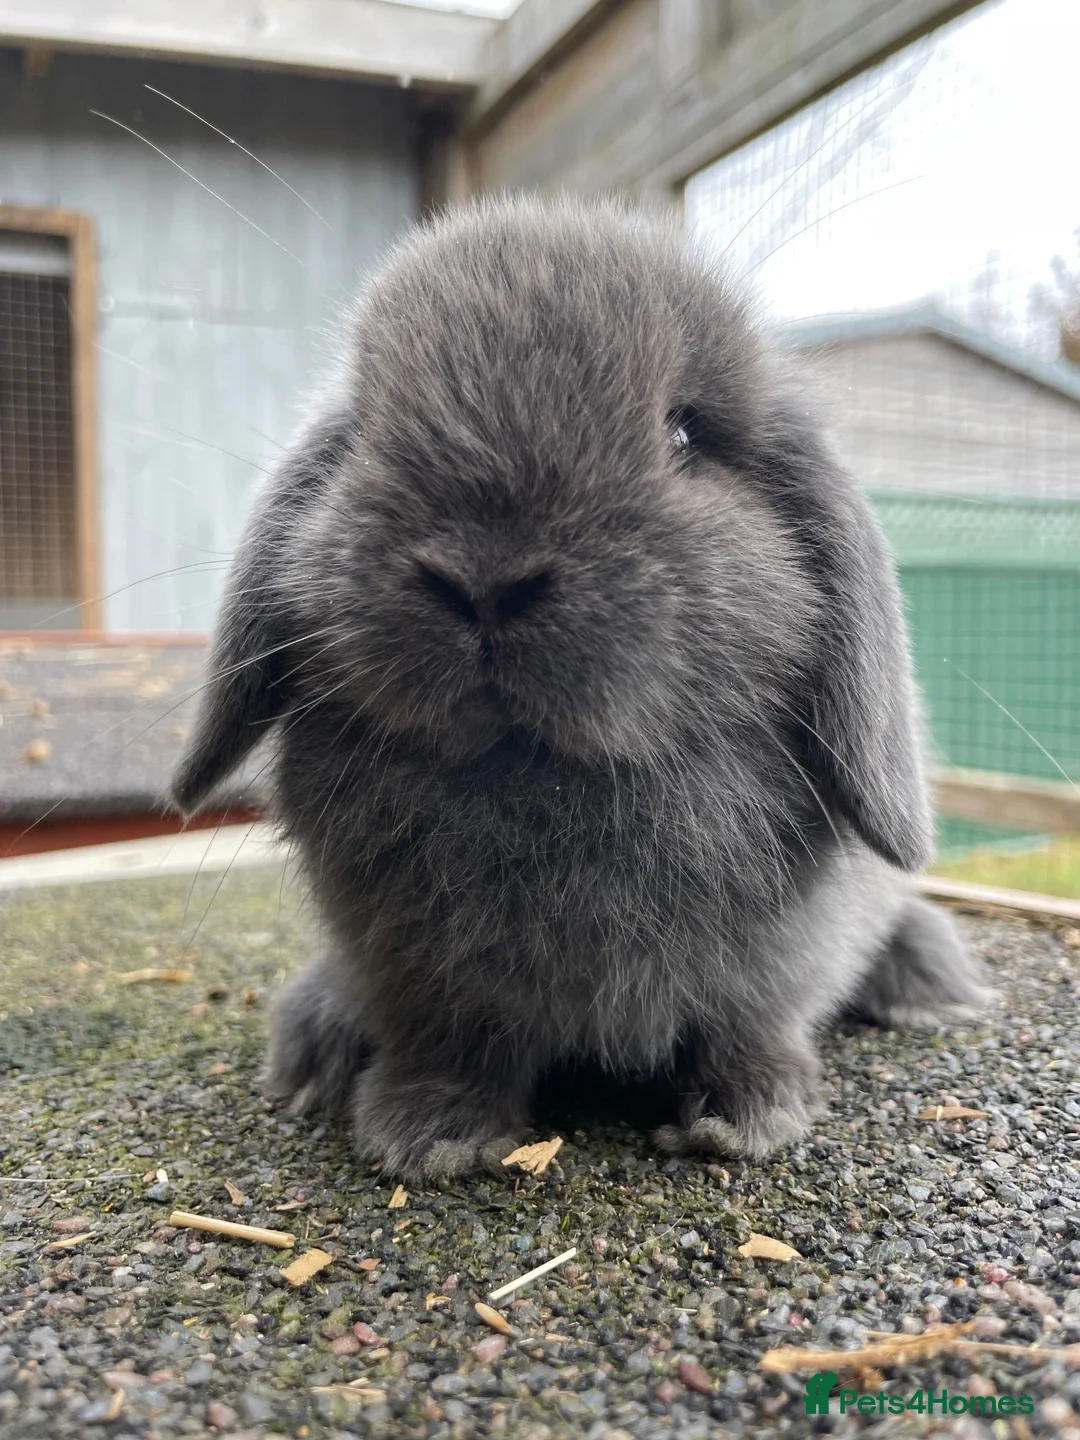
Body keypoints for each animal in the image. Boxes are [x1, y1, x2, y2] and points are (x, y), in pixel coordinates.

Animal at [171, 195, 991, 1179]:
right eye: (365, 430)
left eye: (687, 433)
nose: (483, 580)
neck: (539, 783)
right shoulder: (418, 980)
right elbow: (453, 1046)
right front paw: (429, 1135)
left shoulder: (774, 967)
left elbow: (748, 1030)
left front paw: (747, 1119)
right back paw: (313, 1045)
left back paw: (929, 982)